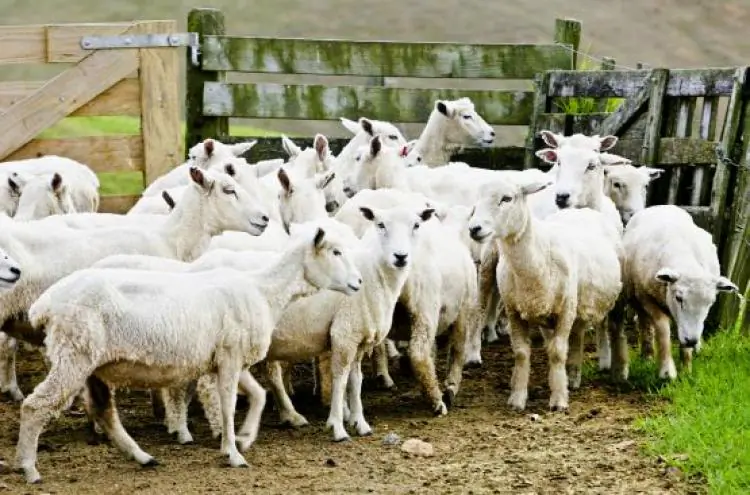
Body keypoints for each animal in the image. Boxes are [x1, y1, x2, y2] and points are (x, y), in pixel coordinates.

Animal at [15, 220, 363, 484]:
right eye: (335, 251)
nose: (359, 282)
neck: (264, 291)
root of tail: (44, 304)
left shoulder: (227, 359)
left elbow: (258, 396)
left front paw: (246, 436)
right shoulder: (230, 356)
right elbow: (227, 405)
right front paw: (233, 453)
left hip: (92, 364)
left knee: (104, 411)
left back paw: (142, 457)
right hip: (74, 355)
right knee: (35, 405)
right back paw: (28, 468)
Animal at [467, 173, 622, 411]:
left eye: (507, 198)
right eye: (477, 201)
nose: (474, 229)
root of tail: (582, 210)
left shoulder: (566, 309)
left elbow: (557, 352)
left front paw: (558, 399)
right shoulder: (514, 311)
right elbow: (521, 353)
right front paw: (518, 397)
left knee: (602, 328)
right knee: (577, 335)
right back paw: (573, 377)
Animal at [620, 204, 738, 379]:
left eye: (710, 303)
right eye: (678, 298)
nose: (692, 340)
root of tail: (662, 206)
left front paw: (687, 370)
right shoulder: (647, 298)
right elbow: (663, 328)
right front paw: (667, 370)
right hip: (636, 295)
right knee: (645, 323)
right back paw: (647, 355)